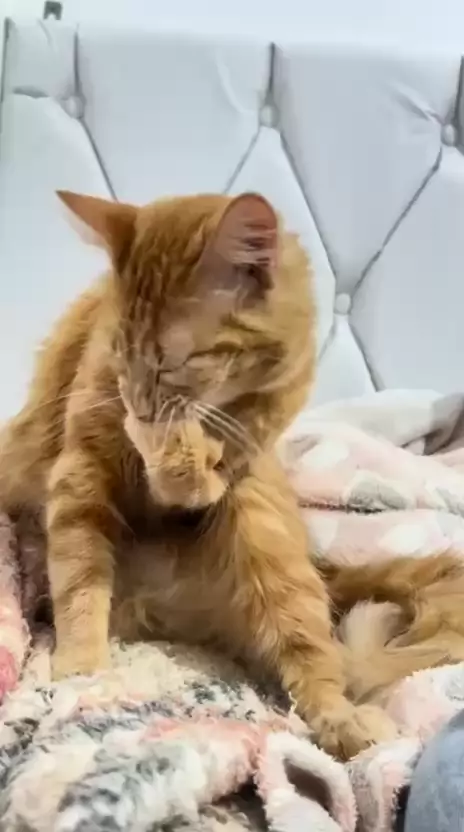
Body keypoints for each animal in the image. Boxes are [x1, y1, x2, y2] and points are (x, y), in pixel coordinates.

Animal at [0, 190, 395, 759]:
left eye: (172, 362)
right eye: (119, 352)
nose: (139, 407)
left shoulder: (241, 465)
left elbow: (195, 478)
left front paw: (176, 442)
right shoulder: (81, 472)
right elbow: (80, 579)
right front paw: (82, 668)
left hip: (263, 532)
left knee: (314, 661)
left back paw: (345, 721)